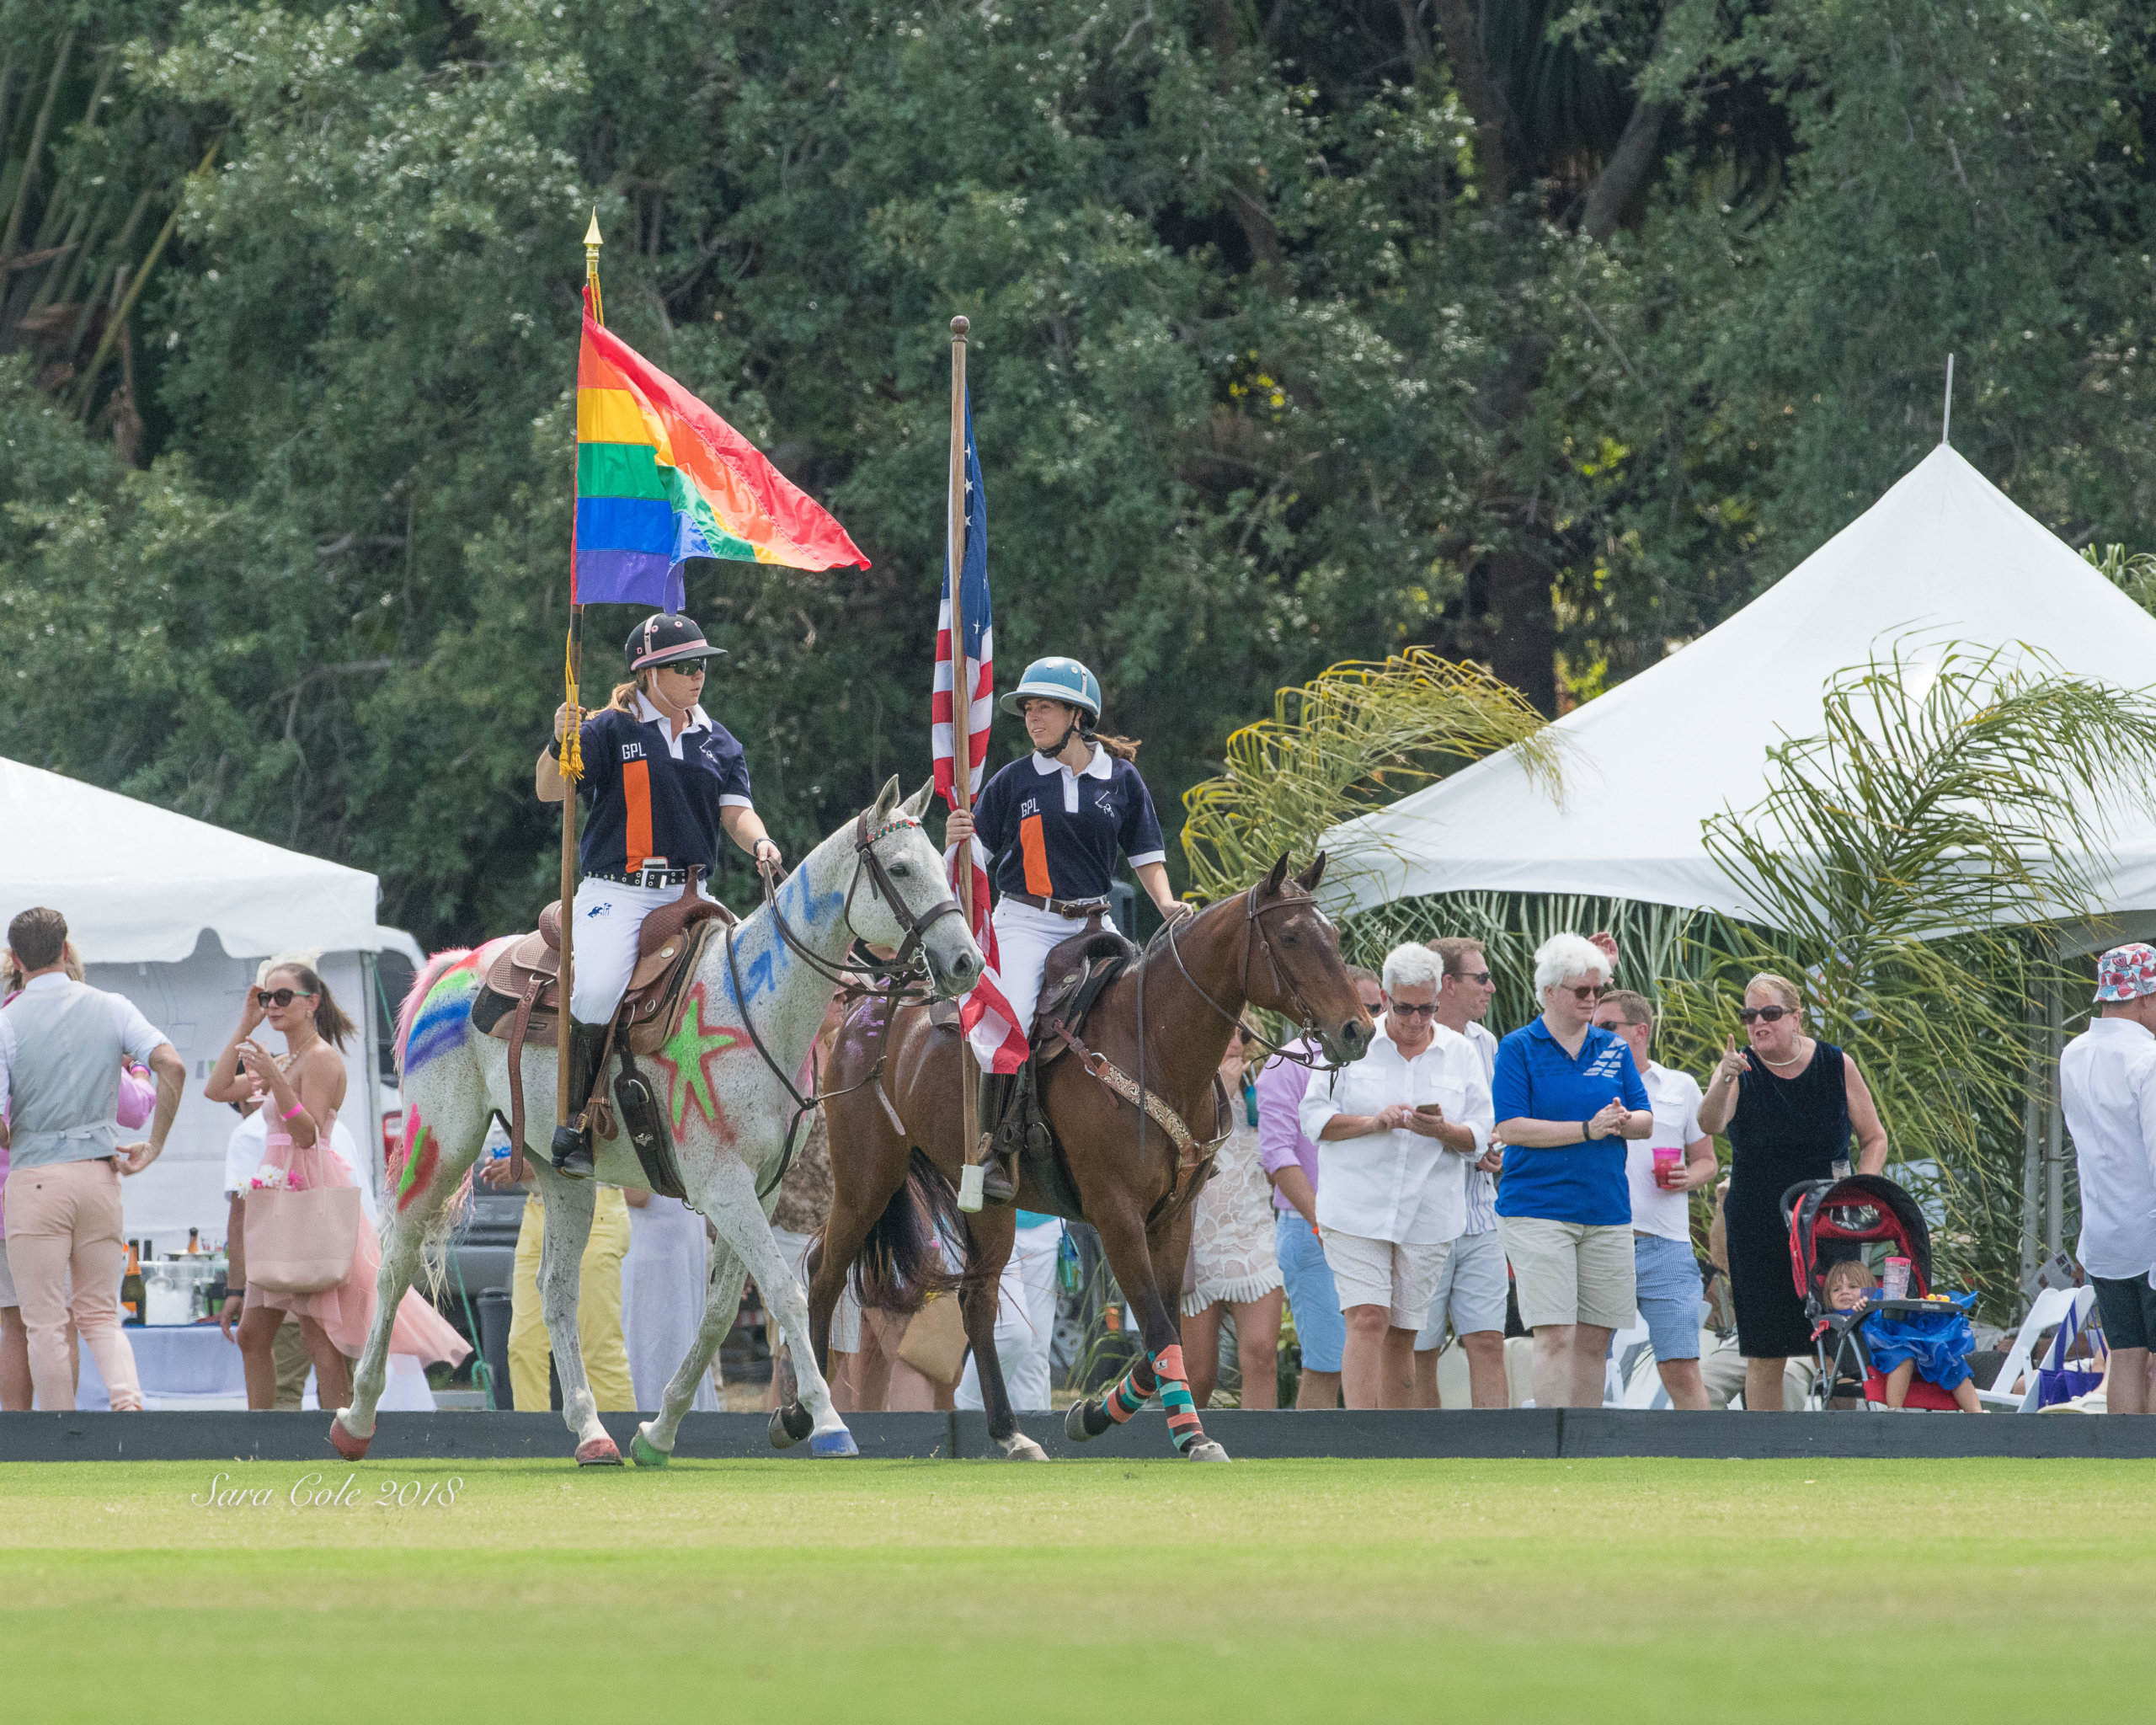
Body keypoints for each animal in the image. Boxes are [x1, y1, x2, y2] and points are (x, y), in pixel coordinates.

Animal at [329, 780, 987, 1466]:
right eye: (902, 868)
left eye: (941, 862)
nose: (966, 963)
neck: (758, 1006)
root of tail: (455, 965)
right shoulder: (722, 1185)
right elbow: (785, 1289)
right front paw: (828, 1420)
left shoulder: (760, 1190)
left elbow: (722, 1310)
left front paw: (658, 1431)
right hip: (442, 1138)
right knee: (396, 1261)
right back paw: (356, 1419)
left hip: (562, 1175)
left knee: (555, 1289)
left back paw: (592, 1433)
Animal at [788, 853, 1362, 1466]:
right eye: (1291, 936)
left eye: (1335, 935)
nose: (1358, 1028)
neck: (1154, 1043)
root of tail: (867, 1006)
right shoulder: (1116, 1214)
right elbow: (1160, 1328)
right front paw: (1192, 1435)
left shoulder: (1172, 1216)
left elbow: (1164, 1334)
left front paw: (1091, 1414)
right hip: (867, 1179)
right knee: (823, 1274)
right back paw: (807, 1416)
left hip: (987, 1205)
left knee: (976, 1299)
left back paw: (1010, 1433)